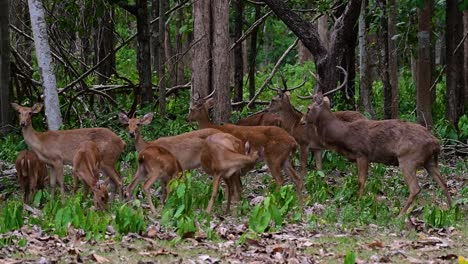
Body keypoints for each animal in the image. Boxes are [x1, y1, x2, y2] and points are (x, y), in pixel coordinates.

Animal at [302, 73, 452, 216]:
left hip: (408, 158)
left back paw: (400, 215)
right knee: (444, 183)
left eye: (308, 108)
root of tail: (435, 142)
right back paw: (451, 209)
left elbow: (361, 181)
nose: (302, 121)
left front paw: (358, 204)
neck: (344, 135)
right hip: (429, 161)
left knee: (415, 188)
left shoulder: (362, 154)